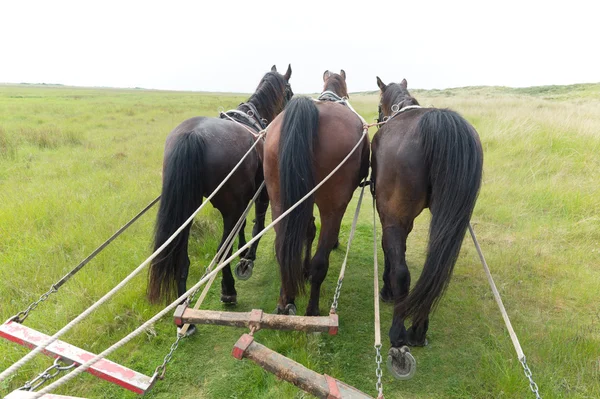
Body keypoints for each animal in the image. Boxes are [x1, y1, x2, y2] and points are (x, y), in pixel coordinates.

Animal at [148, 66, 292, 318]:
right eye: (290, 92)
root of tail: (192, 136)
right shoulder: (260, 194)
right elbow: (257, 225)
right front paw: (248, 257)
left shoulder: (243, 200)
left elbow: (241, 228)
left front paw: (244, 252)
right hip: (227, 207)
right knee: (222, 249)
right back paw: (228, 290)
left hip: (188, 210)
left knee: (182, 260)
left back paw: (185, 313)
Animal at [264, 71, 368, 316]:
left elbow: (307, 231)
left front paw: (302, 269)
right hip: (332, 206)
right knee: (321, 262)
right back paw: (312, 310)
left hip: (279, 202)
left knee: (282, 248)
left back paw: (285, 301)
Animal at [370, 78, 482, 356]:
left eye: (378, 104)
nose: (379, 118)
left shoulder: (390, 218)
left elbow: (390, 253)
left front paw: (387, 290)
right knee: (435, 270)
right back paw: (418, 330)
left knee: (403, 273)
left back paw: (398, 332)